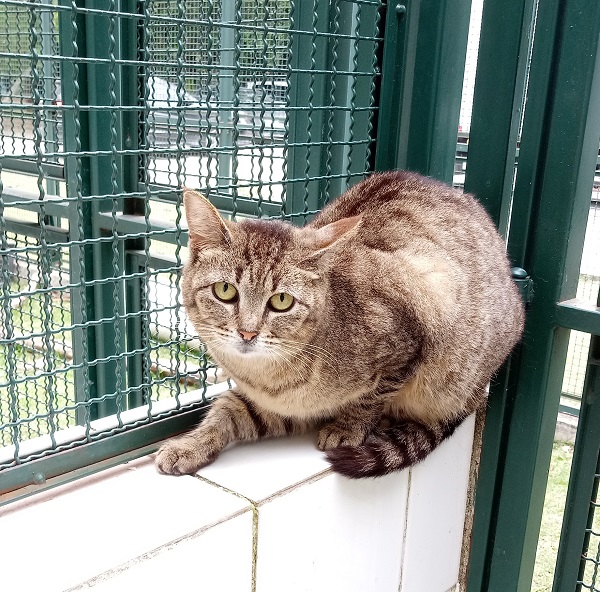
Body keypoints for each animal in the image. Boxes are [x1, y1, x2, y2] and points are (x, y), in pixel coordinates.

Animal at [156, 170, 524, 476]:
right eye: (225, 291)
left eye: (281, 301)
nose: (248, 332)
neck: (268, 379)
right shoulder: (282, 406)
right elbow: (227, 408)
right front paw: (191, 445)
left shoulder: (410, 336)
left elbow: (371, 397)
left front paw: (348, 428)